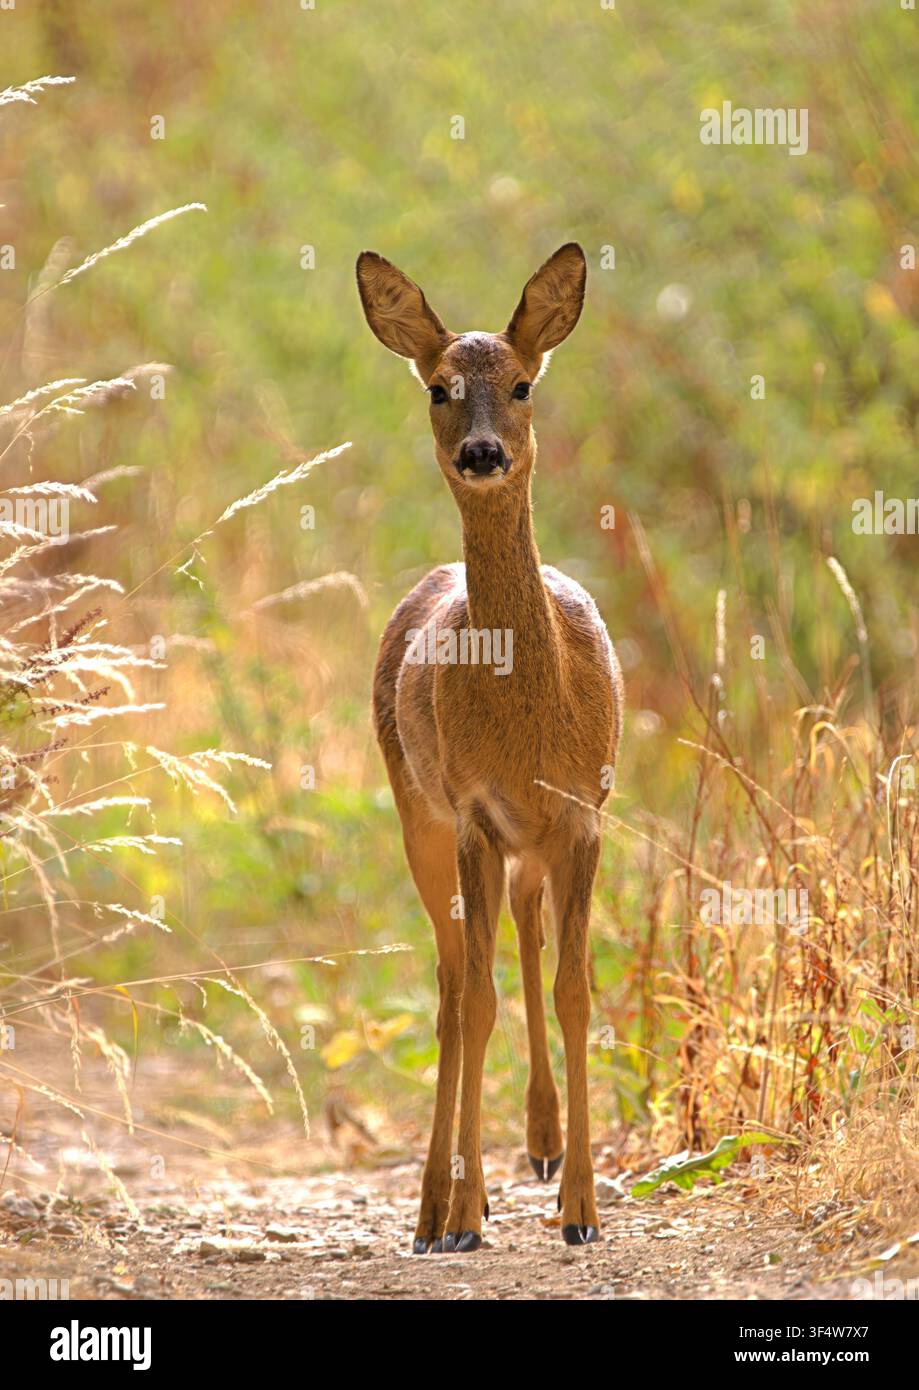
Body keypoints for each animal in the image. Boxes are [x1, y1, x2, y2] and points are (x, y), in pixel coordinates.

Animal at [356, 243, 623, 1252]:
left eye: (521, 384)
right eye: (437, 388)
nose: (481, 451)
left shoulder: (582, 814)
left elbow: (574, 990)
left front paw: (580, 1207)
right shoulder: (471, 811)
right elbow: (475, 1003)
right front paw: (467, 1214)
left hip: (527, 846)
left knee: (518, 942)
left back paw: (541, 1149)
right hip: (417, 813)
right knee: (451, 985)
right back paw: (437, 1206)